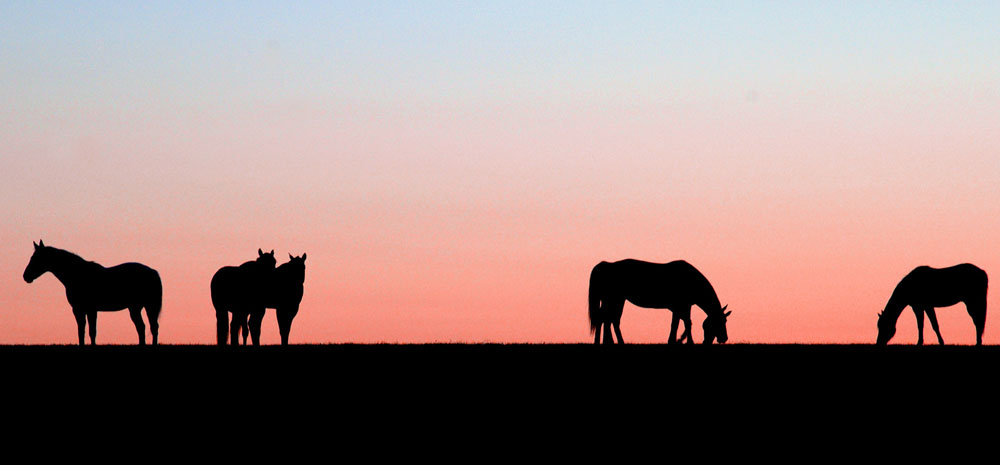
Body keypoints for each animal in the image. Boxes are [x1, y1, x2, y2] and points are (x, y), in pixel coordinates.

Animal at [22, 239, 164, 344]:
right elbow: (82, 331)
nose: (25, 276)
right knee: (142, 327)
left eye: (36, 258)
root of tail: (153, 272)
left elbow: (90, 331)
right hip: (136, 308)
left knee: (152, 327)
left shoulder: (89, 309)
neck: (77, 275)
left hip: (148, 306)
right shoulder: (81, 310)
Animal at [588, 260, 732, 342]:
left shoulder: (681, 307)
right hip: (613, 299)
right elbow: (682, 324)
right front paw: (681, 341)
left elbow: (683, 323)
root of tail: (606, 265)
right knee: (607, 319)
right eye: (721, 321)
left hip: (616, 300)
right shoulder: (681, 306)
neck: (690, 280)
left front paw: (679, 339)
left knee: (609, 319)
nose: (724, 338)